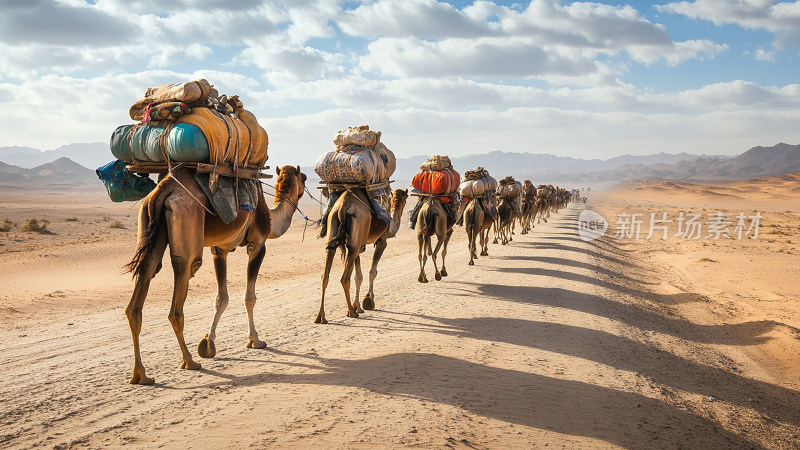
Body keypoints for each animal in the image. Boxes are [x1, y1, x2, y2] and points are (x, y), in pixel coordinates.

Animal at [124, 163, 306, 384]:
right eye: (304, 178)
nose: (305, 185)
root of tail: (162, 190)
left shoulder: (220, 249)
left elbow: (221, 298)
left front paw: (208, 343)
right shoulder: (257, 244)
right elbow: (249, 298)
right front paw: (255, 340)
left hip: (148, 227)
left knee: (141, 287)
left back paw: (140, 374)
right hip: (187, 225)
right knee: (181, 287)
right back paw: (189, 362)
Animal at [316, 187, 410, 324]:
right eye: (405, 198)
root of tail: (343, 206)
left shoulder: (359, 246)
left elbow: (358, 276)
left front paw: (358, 305)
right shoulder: (382, 241)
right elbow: (372, 272)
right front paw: (368, 301)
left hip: (335, 229)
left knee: (325, 275)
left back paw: (321, 316)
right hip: (358, 227)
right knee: (345, 278)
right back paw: (351, 312)